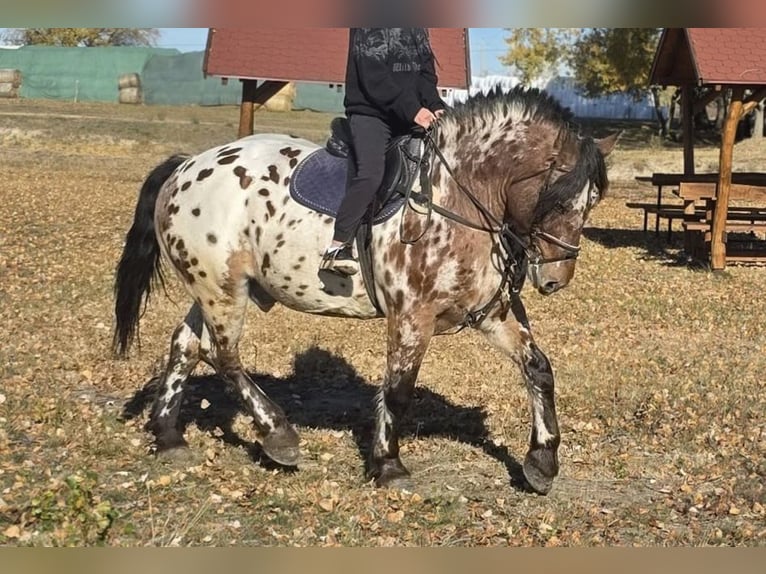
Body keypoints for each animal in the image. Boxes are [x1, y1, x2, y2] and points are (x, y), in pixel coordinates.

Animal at [113, 86, 618, 495]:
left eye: (591, 202)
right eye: (557, 200)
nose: (554, 280)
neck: (457, 196)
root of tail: (186, 166)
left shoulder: (491, 314)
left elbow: (539, 369)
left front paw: (542, 461)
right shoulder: (412, 317)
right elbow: (397, 390)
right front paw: (389, 465)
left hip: (215, 287)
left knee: (186, 345)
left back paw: (169, 436)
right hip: (222, 289)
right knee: (224, 356)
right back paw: (278, 434)